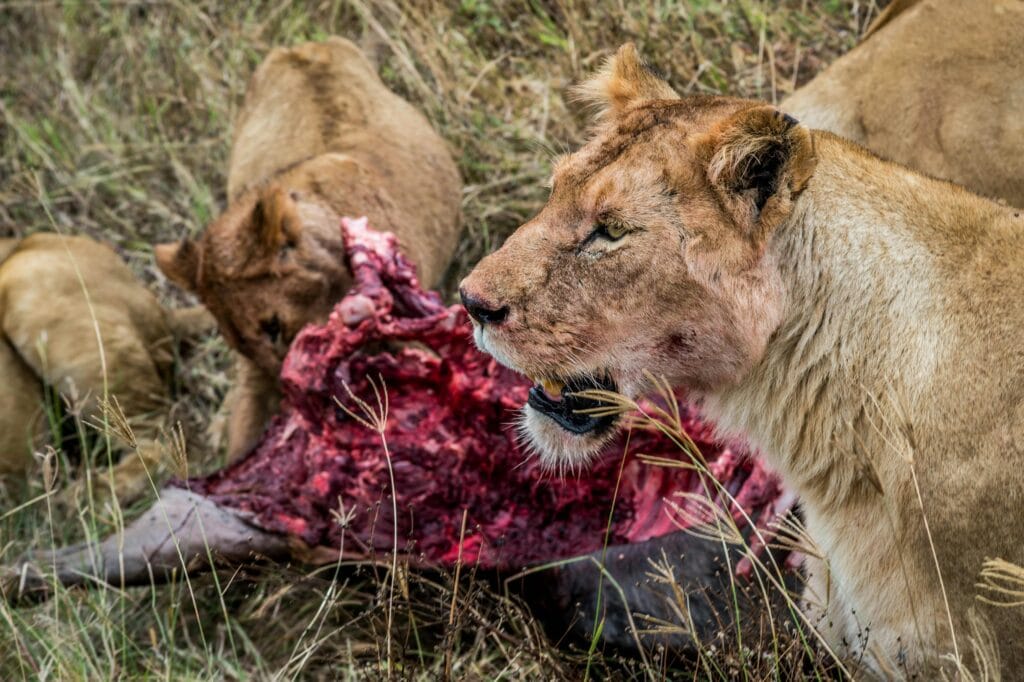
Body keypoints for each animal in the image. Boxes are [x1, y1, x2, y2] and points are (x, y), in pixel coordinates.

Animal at [154, 37, 462, 460]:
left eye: (274, 326)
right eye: (240, 342)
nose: (289, 395)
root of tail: (302, 46)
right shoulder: (254, 377)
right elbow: (242, 439)